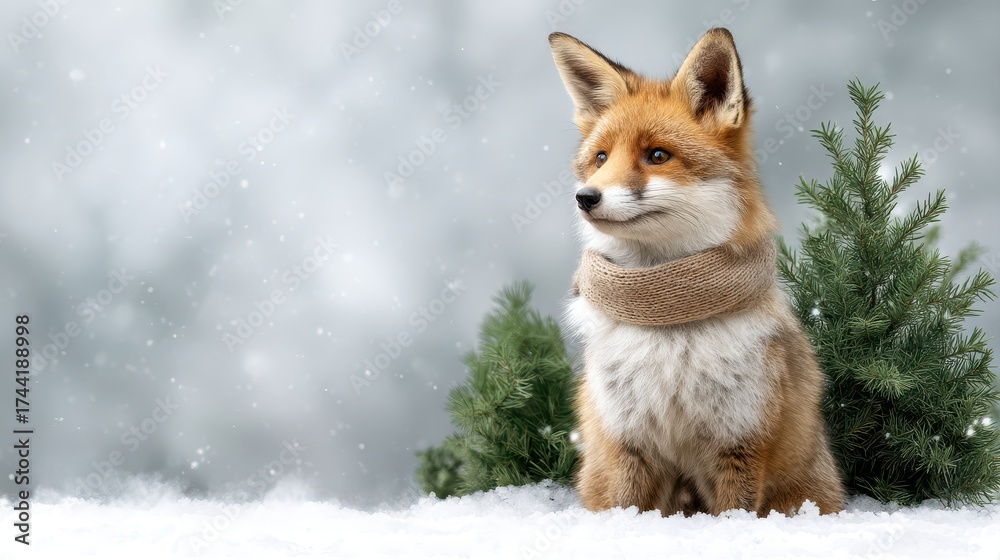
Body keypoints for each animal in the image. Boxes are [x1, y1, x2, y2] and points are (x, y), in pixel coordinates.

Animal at [550, 28, 845, 516]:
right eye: (601, 158)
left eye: (657, 155)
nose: (585, 198)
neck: (667, 319)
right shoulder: (626, 440)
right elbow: (624, 508)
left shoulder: (742, 440)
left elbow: (735, 513)